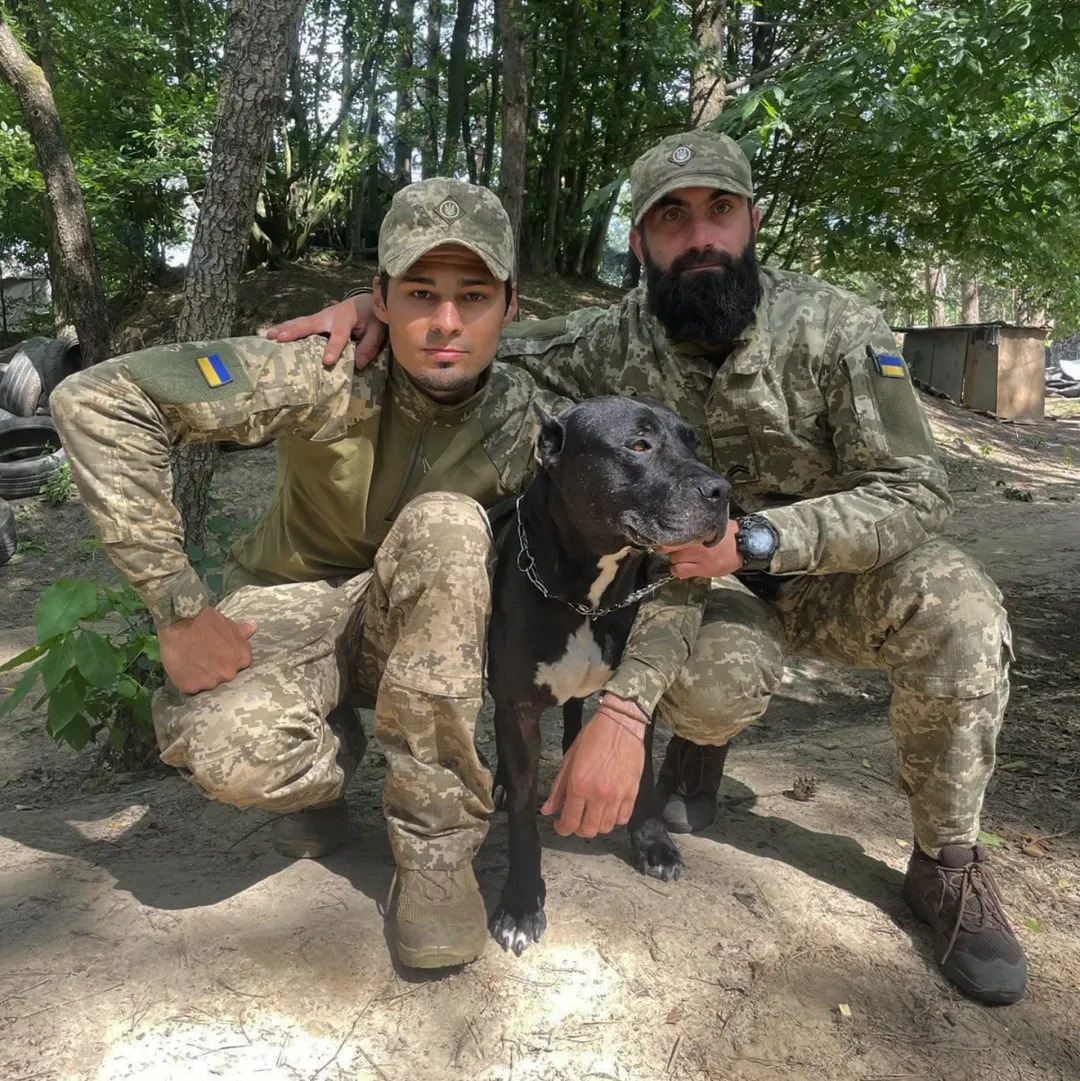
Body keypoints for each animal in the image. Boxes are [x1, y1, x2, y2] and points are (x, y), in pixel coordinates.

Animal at [487, 396, 731, 956]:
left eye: (691, 441)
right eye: (638, 444)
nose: (722, 492)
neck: (585, 595)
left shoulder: (640, 689)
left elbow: (637, 768)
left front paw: (652, 842)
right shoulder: (517, 707)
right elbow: (523, 819)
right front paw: (521, 902)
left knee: (577, 717)